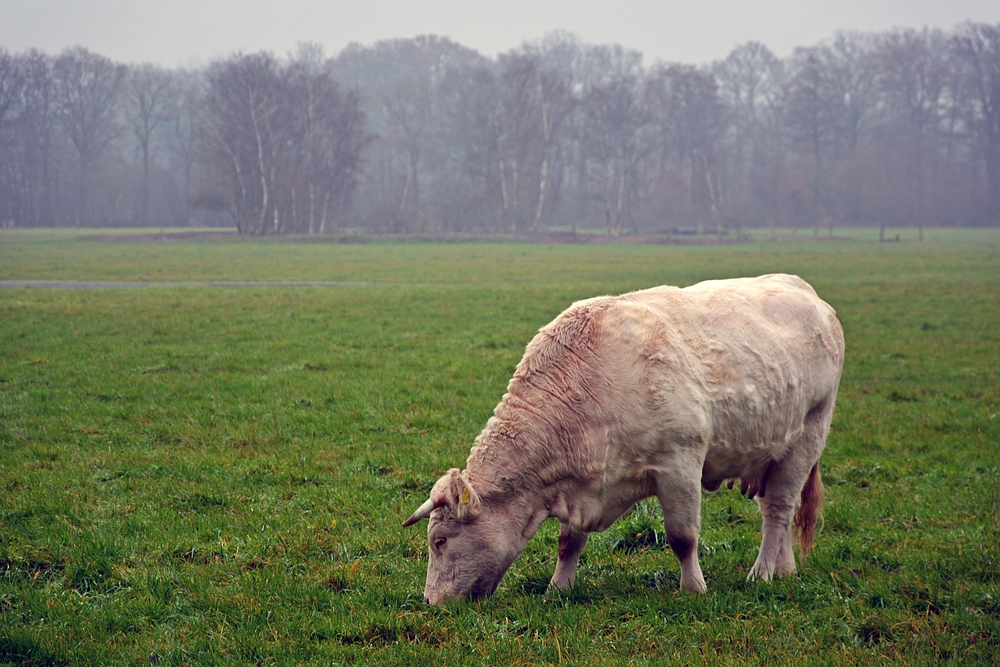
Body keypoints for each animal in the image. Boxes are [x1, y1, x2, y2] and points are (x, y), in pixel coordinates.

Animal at [402, 274, 840, 604]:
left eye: (440, 541)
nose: (430, 601)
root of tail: (805, 291)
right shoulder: (580, 483)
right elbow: (568, 542)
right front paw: (558, 588)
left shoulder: (679, 464)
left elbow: (682, 538)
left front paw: (693, 588)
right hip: (771, 453)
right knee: (775, 508)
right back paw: (784, 568)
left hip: (809, 435)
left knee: (779, 508)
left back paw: (762, 572)